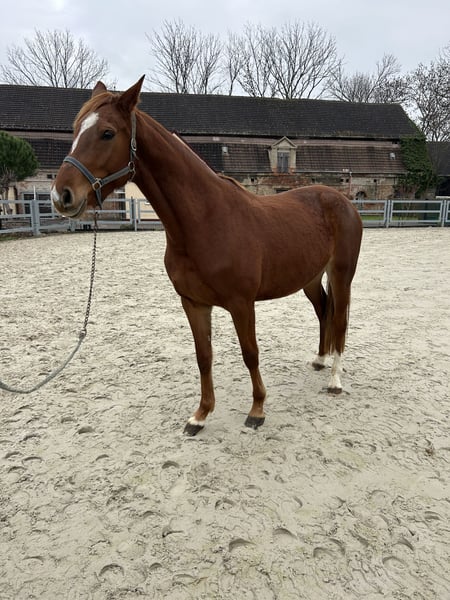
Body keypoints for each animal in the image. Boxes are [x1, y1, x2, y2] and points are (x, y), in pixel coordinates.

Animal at [51, 77, 363, 436]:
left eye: (107, 133)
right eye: (75, 129)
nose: (61, 195)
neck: (205, 221)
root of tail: (343, 201)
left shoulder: (242, 304)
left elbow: (250, 353)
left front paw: (257, 410)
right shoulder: (193, 303)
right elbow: (204, 356)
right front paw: (200, 415)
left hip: (341, 275)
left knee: (339, 320)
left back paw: (335, 380)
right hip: (309, 278)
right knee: (323, 311)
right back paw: (320, 360)